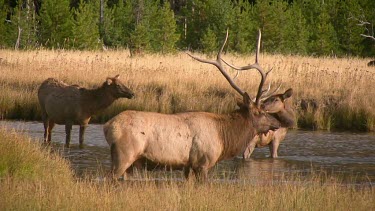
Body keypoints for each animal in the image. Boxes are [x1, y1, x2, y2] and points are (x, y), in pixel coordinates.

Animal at [103, 30, 282, 181]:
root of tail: (107, 126)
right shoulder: (203, 163)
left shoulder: (188, 167)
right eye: (260, 111)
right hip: (124, 155)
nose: (277, 123)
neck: (224, 136)